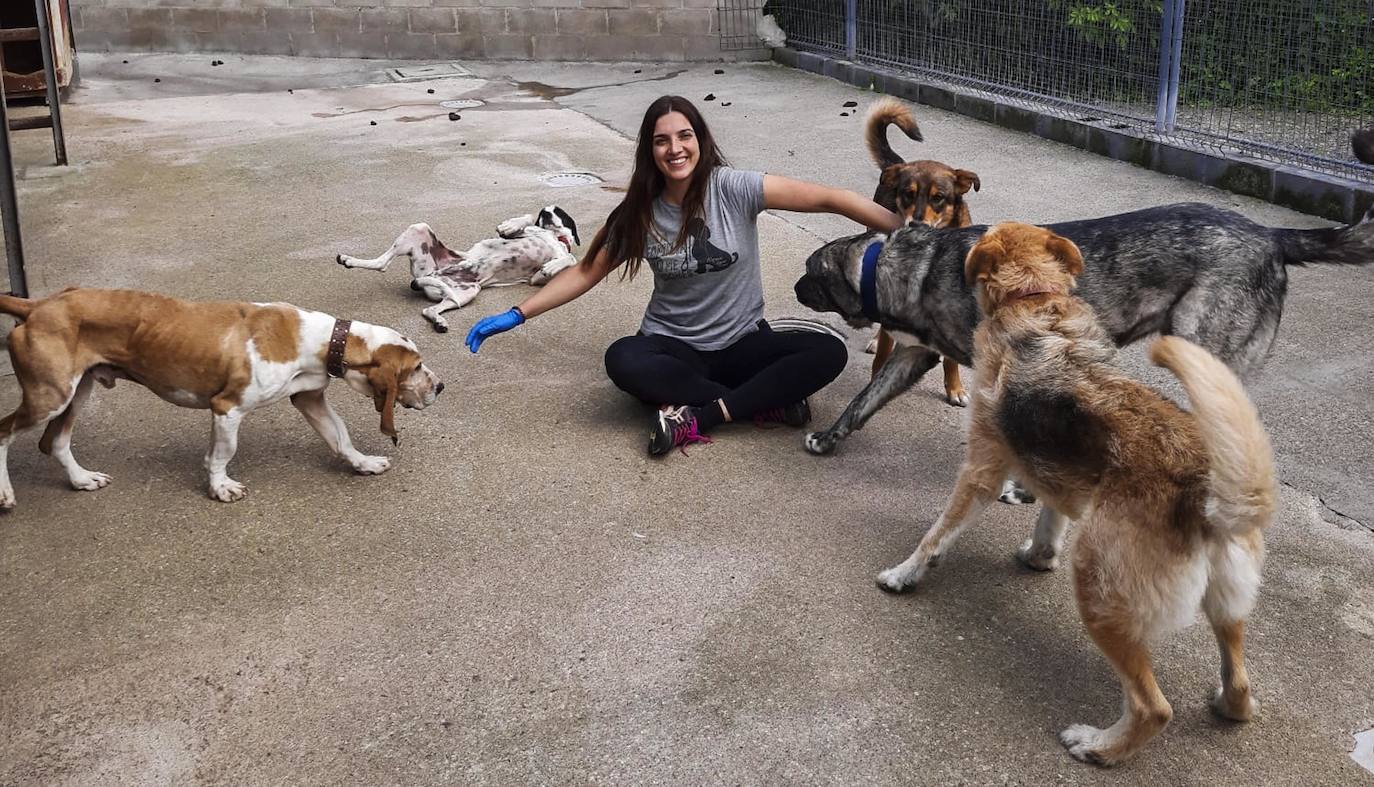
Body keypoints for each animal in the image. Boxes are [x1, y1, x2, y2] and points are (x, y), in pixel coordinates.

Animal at [0, 287, 442, 502]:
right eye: (417, 368)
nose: (440, 386)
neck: (322, 340)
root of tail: (37, 305)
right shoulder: (227, 409)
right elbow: (222, 454)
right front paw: (220, 488)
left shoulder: (310, 399)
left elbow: (341, 437)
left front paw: (363, 463)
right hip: (50, 397)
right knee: (4, 433)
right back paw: (5, 494)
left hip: (76, 391)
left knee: (55, 442)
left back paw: (81, 479)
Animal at [340, 206, 582, 331]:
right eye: (543, 213)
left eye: (560, 212)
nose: (545, 212)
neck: (554, 238)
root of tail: (432, 274)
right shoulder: (524, 235)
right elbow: (524, 223)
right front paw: (512, 224)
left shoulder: (537, 278)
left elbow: (568, 258)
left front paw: (555, 264)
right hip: (419, 228)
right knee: (381, 263)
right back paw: (347, 260)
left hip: (466, 292)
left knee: (429, 309)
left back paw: (438, 320)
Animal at [796, 200, 1374, 461]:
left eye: (809, 273)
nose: (796, 289)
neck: (903, 267)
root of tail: (1272, 235)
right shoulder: (913, 356)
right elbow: (865, 400)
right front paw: (831, 436)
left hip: (1203, 353)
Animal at [873, 223, 1269, 763]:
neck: (1035, 297)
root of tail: (1206, 493)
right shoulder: (1053, 473)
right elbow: (1050, 516)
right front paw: (1038, 556)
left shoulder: (981, 468)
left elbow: (935, 536)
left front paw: (903, 575)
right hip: (1228, 603)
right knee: (1241, 683)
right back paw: (1227, 706)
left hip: (1099, 591)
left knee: (1154, 708)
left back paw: (1099, 746)